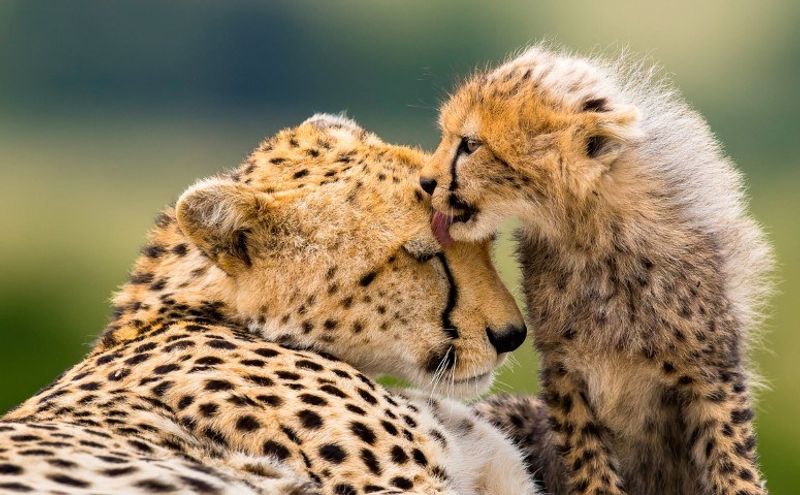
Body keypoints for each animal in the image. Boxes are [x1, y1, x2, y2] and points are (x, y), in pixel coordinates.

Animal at [420, 45, 774, 495]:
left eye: (470, 144)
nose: (425, 182)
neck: (588, 234)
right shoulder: (565, 372)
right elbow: (590, 461)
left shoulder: (710, 373)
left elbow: (732, 460)